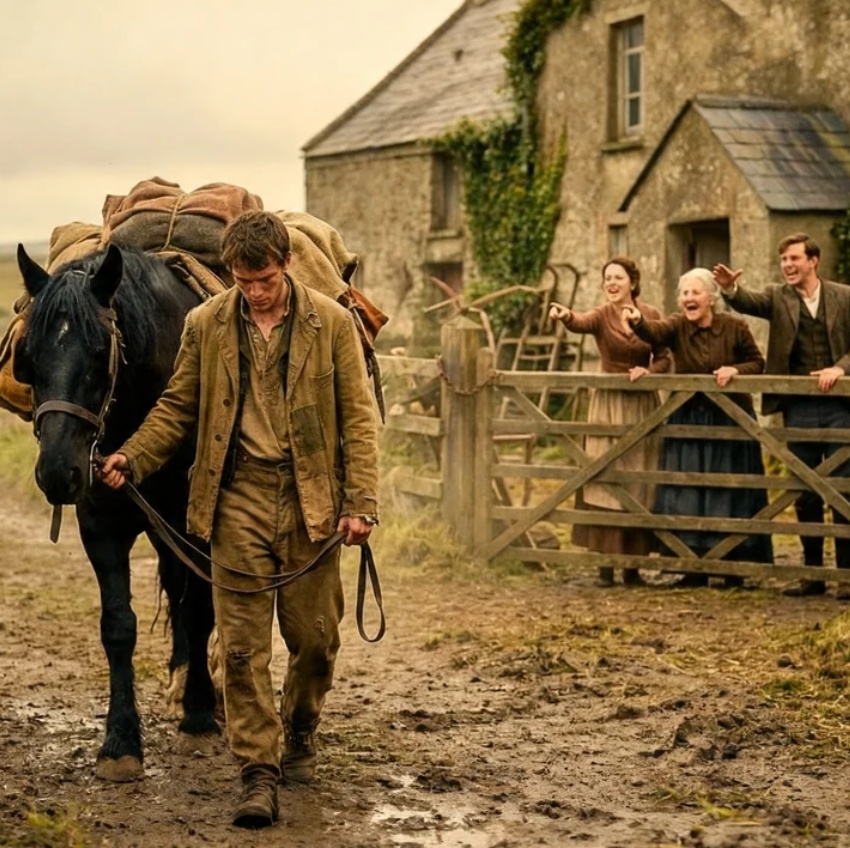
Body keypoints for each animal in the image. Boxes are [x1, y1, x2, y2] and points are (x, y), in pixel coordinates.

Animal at [14, 242, 220, 782]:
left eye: (97, 355)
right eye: (29, 358)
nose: (57, 472)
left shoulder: (197, 527)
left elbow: (201, 610)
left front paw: (200, 713)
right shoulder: (100, 527)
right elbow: (119, 626)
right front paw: (121, 741)